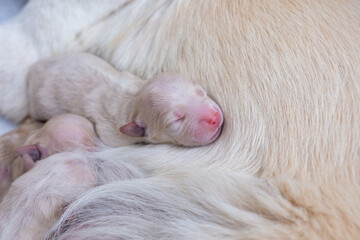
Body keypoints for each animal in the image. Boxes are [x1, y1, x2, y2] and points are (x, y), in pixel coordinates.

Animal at [27, 53, 222, 146]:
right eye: (177, 120)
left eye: (200, 92)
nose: (214, 117)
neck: (132, 101)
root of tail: (34, 70)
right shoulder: (112, 136)